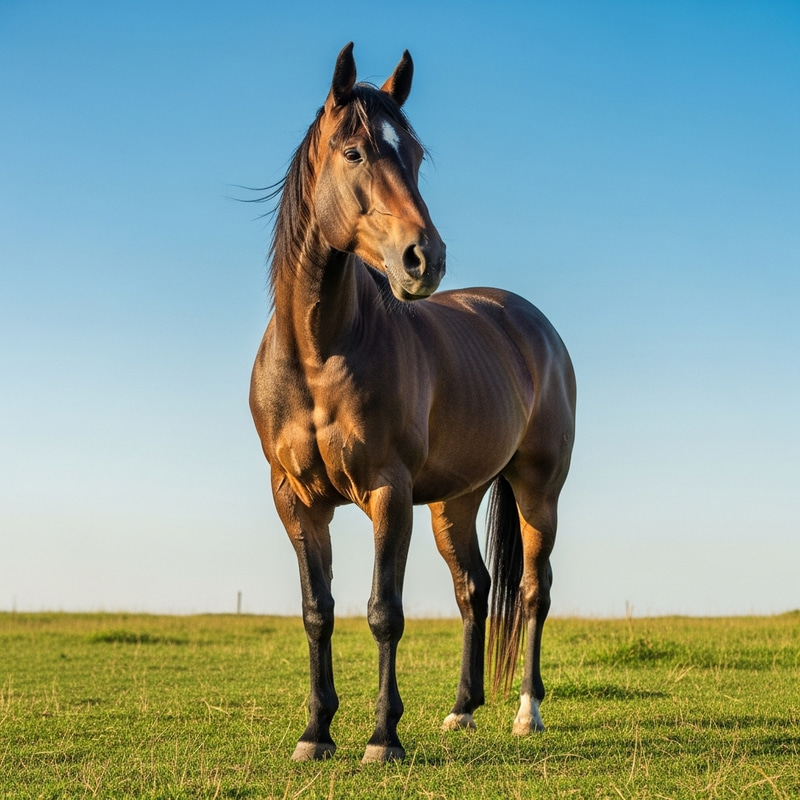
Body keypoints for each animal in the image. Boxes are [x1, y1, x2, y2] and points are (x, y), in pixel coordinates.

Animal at [250, 43, 576, 763]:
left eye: (417, 155)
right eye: (354, 152)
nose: (425, 259)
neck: (319, 351)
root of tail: (531, 323)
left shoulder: (386, 492)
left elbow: (383, 611)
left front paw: (382, 738)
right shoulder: (296, 499)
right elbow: (317, 612)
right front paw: (316, 734)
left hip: (537, 489)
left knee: (532, 592)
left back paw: (527, 712)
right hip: (454, 501)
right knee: (473, 589)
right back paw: (462, 710)